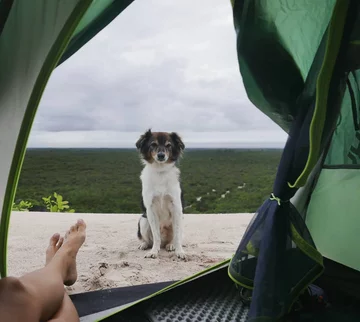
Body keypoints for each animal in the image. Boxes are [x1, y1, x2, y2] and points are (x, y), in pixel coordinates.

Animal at [134, 128, 186, 260]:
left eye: (168, 145)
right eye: (153, 144)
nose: (161, 155)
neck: (160, 171)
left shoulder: (176, 208)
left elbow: (177, 236)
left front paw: (179, 251)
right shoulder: (150, 209)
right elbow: (156, 235)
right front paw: (154, 251)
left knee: (173, 238)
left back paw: (171, 245)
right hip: (143, 221)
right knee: (150, 240)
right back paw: (145, 245)